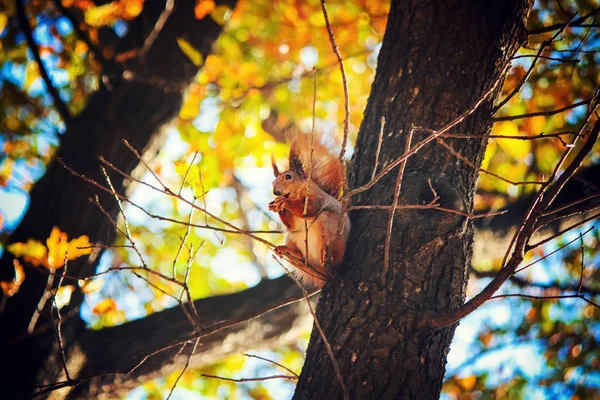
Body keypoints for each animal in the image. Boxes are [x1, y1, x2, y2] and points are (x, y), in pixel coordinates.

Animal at [268, 131, 350, 288]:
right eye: (273, 182)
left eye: (288, 177)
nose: (276, 192)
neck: (295, 194)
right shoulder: (292, 223)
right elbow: (291, 224)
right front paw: (276, 206)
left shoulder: (314, 196)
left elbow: (310, 209)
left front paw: (284, 202)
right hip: (293, 237)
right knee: (298, 250)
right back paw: (287, 251)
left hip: (329, 222)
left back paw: (326, 252)